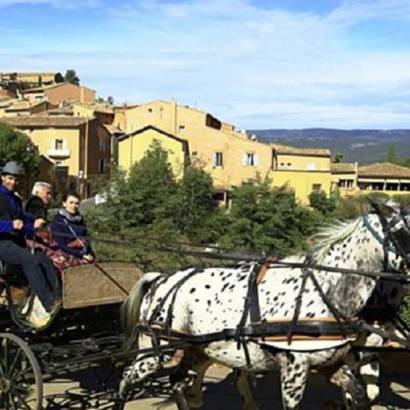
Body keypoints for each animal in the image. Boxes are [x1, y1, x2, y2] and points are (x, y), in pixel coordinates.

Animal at [118, 200, 410, 410]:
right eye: (404, 231)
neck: (325, 288)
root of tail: (160, 279)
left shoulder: (332, 364)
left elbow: (361, 396)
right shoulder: (294, 368)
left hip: (198, 349)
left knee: (180, 382)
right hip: (156, 350)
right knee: (126, 380)